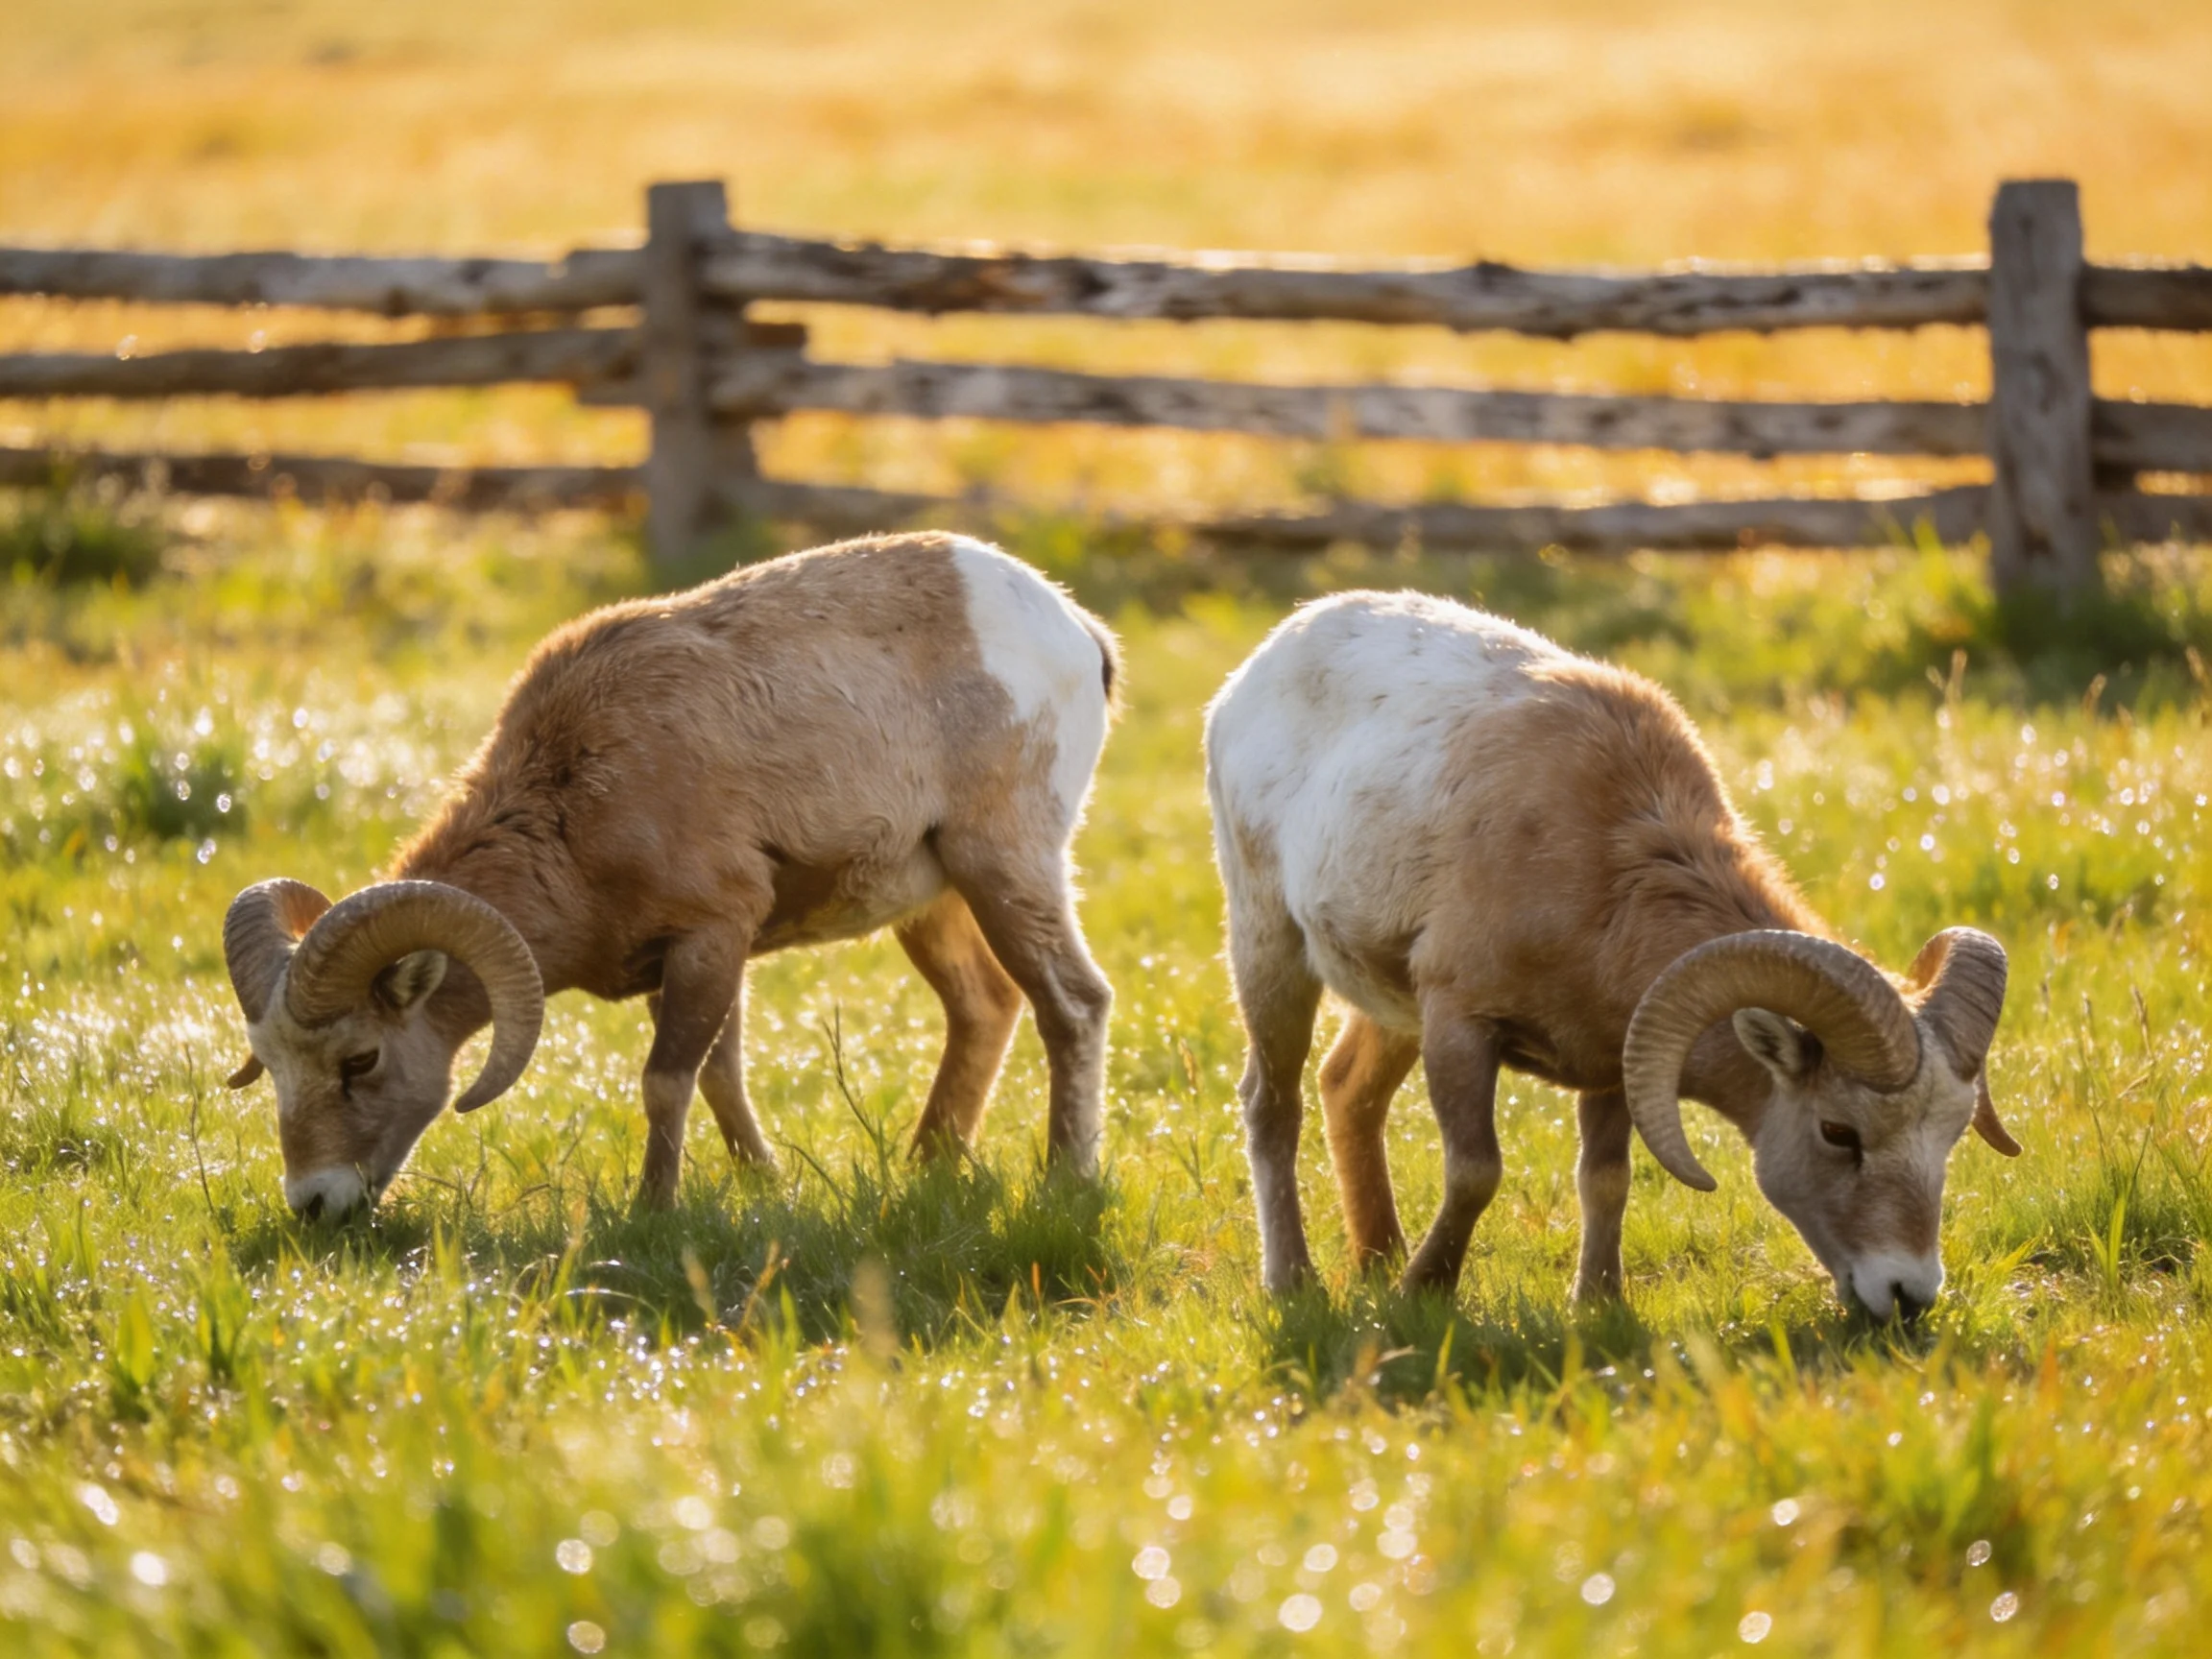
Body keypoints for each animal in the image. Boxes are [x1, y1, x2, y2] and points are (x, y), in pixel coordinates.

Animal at [222, 532, 1119, 1218]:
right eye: (271, 1067)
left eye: (360, 1060)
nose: (314, 1204)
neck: (575, 797)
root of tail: (1074, 626)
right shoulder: (684, 961)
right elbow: (719, 1076)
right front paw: (765, 1187)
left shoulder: (711, 936)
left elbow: (667, 1081)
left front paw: (653, 1211)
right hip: (936, 903)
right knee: (986, 1007)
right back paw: (927, 1167)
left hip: (1005, 864)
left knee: (1073, 1005)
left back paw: (1065, 1182)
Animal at [1204, 590, 2017, 1318]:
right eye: (1838, 1132)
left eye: (1951, 1133)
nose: (1908, 1295)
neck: (1609, 876)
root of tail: (1269, 657)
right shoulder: (1461, 1024)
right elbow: (1475, 1171)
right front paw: (1423, 1292)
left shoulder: (1615, 1062)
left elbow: (1606, 1181)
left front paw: (1596, 1302)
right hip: (1269, 945)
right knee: (1272, 1106)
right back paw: (1295, 1282)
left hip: (1388, 1004)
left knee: (1348, 1091)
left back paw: (1376, 1261)